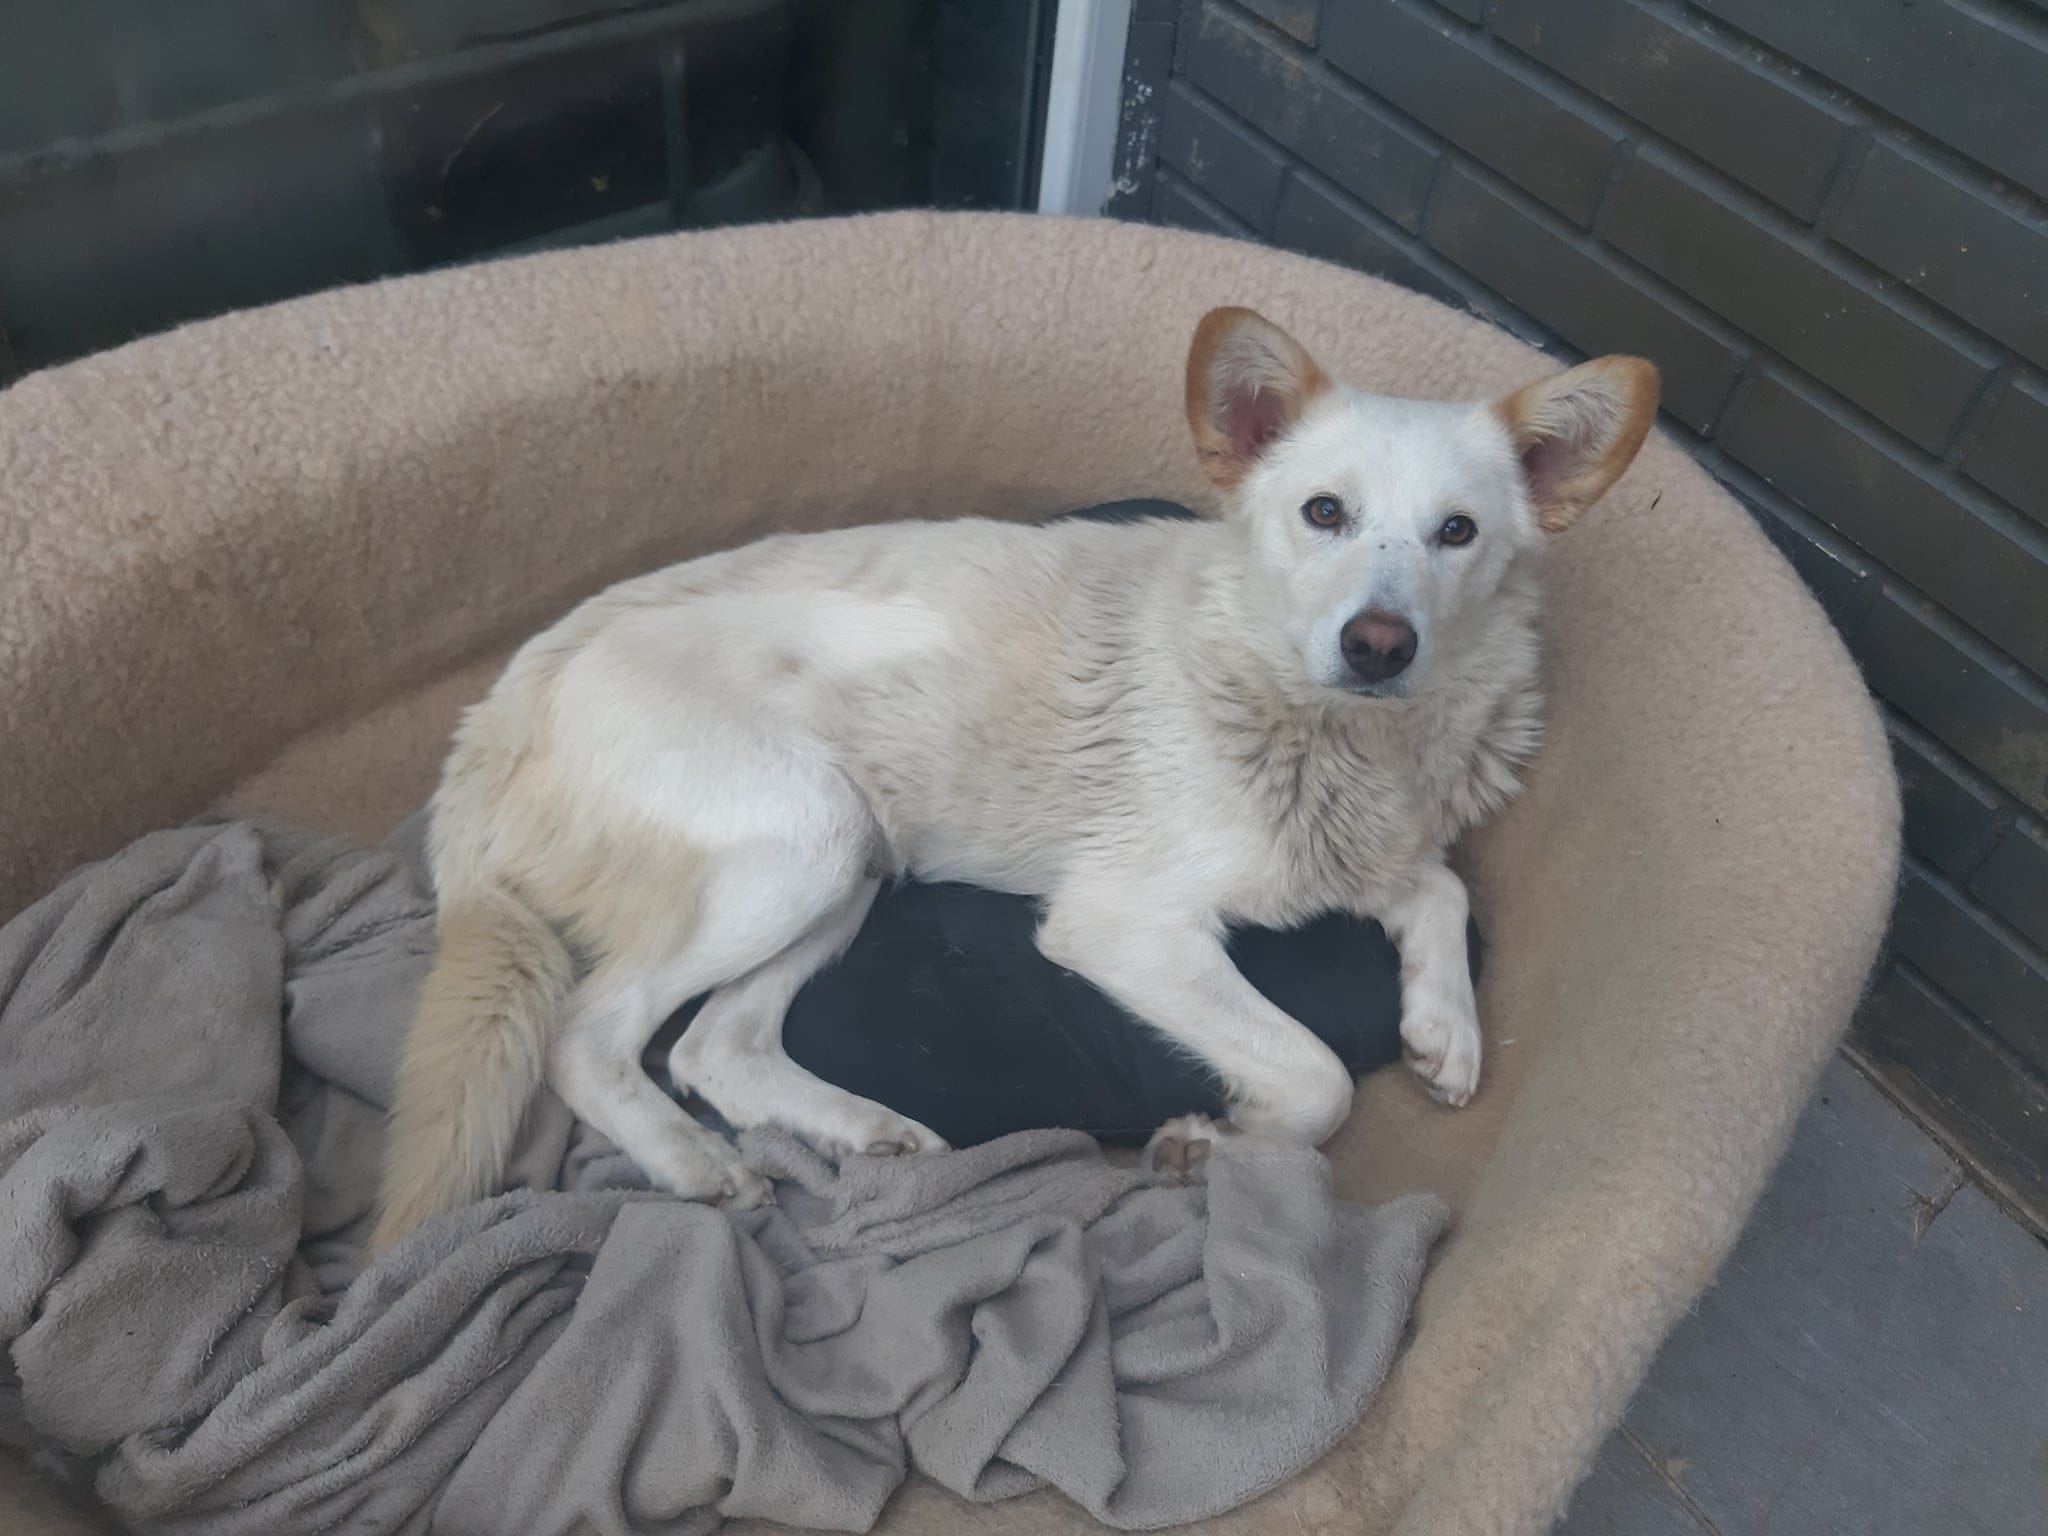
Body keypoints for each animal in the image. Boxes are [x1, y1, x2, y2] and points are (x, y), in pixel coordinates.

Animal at [370, 307, 1658, 1251]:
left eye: (1457, 532)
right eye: (1323, 512)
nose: (1377, 645)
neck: (1324, 726)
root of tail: (496, 712)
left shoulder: (1352, 849)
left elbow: (1437, 886)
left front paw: (1445, 1028)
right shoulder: (1125, 927)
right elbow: (1315, 1075)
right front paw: (1219, 1140)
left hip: (853, 859)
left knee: (712, 1049)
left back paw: (862, 1132)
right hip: (798, 844)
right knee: (591, 1036)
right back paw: (695, 1164)